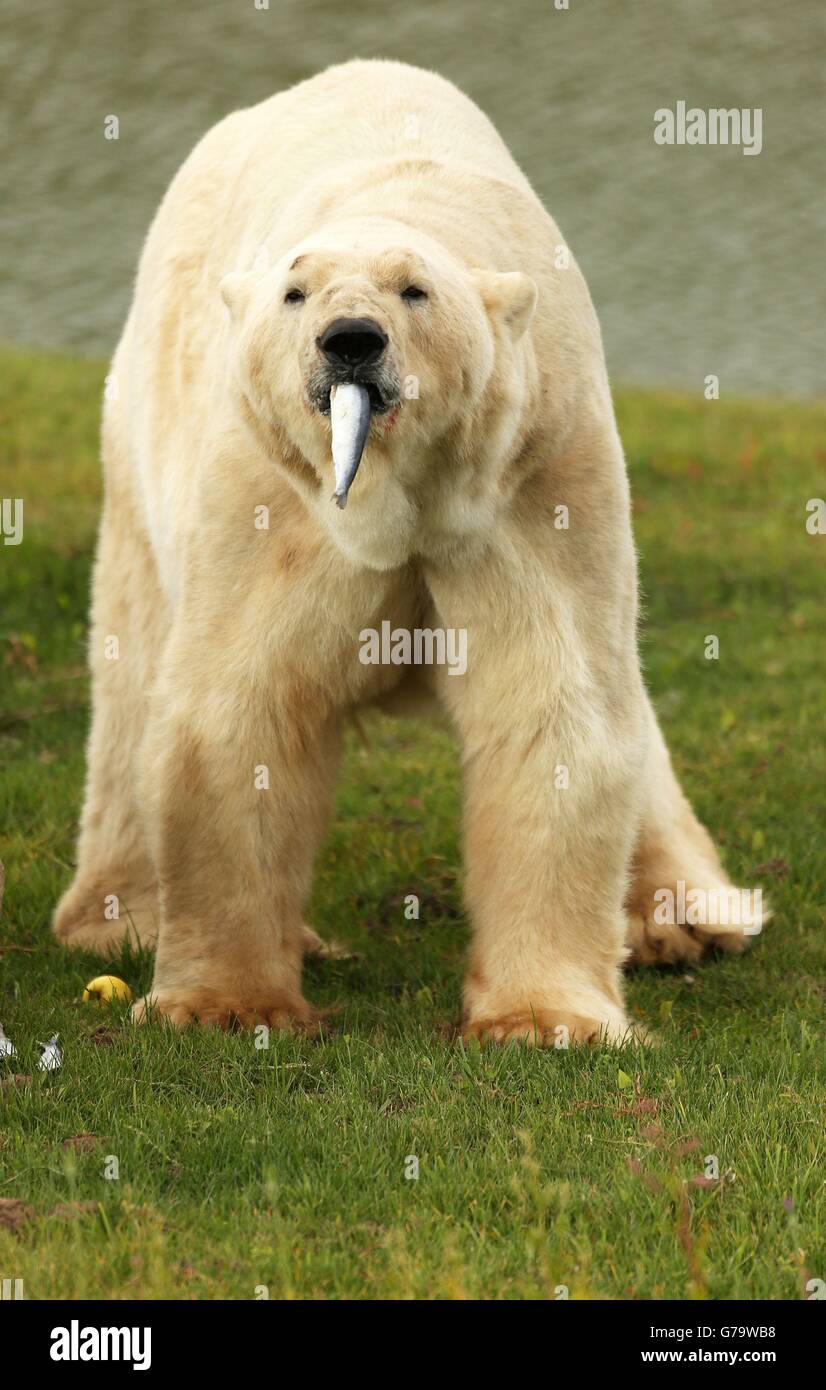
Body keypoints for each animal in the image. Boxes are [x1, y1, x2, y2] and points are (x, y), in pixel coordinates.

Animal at [53, 59, 763, 1042]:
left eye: (414, 290)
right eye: (295, 292)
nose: (351, 340)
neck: (401, 496)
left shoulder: (529, 482)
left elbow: (553, 706)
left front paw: (546, 1018)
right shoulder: (271, 499)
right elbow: (241, 707)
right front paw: (224, 1005)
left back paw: (683, 917)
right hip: (144, 443)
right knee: (134, 671)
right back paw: (122, 919)